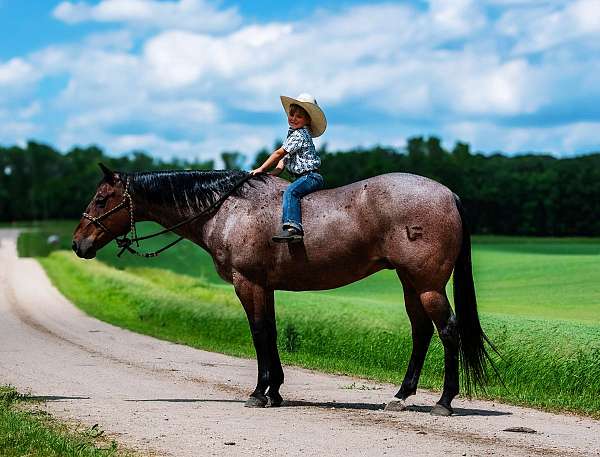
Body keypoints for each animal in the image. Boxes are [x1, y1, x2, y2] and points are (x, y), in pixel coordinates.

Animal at [72, 165, 494, 416]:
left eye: (101, 198)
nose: (78, 244)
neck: (227, 209)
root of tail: (449, 195)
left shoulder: (248, 283)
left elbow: (259, 333)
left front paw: (260, 392)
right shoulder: (266, 287)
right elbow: (271, 333)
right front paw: (275, 390)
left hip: (427, 285)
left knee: (448, 331)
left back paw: (444, 401)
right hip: (411, 284)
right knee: (421, 332)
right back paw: (401, 395)